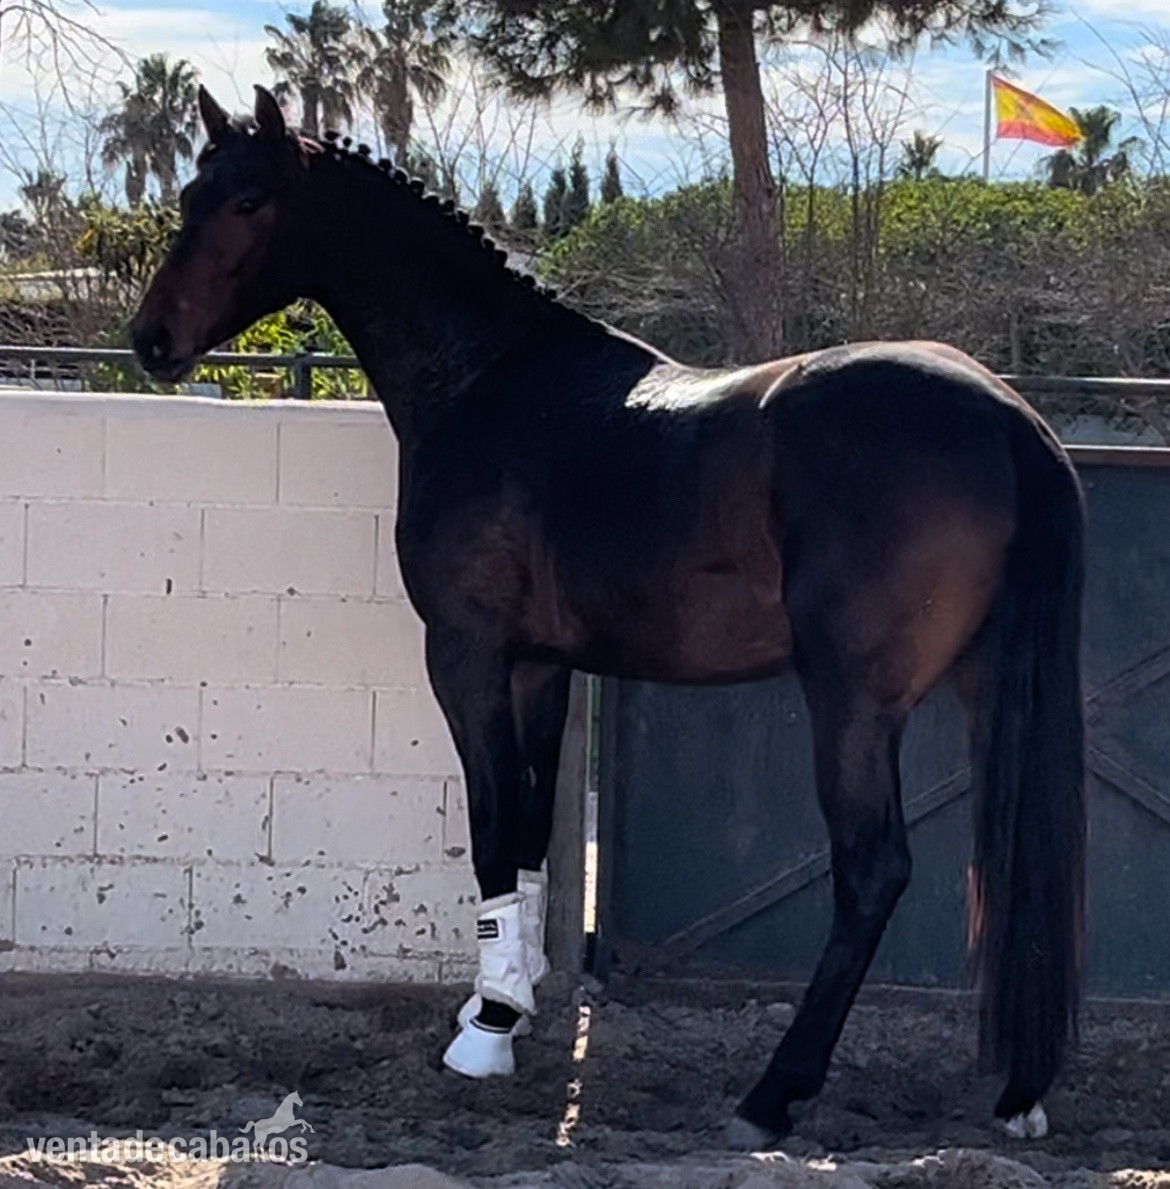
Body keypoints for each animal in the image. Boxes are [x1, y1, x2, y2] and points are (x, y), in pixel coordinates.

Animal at [129, 84, 1087, 1150]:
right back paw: (1018, 1090)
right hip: (986, 686)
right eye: (191, 193)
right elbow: (533, 830)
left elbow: (493, 827)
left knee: (873, 871)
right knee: (1010, 863)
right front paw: (510, 1001)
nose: (151, 340)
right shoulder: (542, 665)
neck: (491, 380)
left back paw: (772, 1093)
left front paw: (486, 1030)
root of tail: (1007, 415)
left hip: (853, 703)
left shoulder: (466, 654)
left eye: (249, 200)